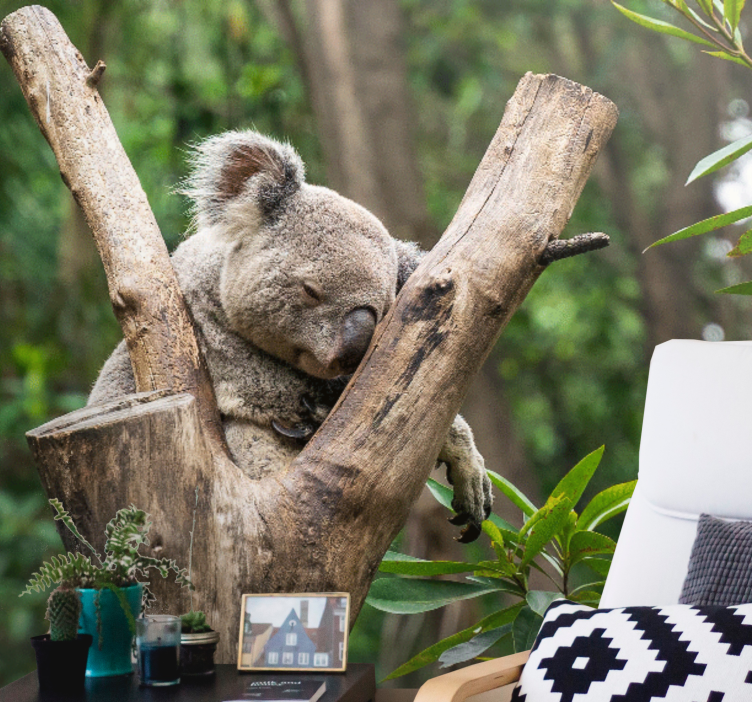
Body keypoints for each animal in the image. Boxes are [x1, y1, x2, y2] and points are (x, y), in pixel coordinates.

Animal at [89, 130, 492, 540]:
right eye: (311, 291)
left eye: (383, 311)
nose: (350, 353)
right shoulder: (207, 333)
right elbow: (266, 386)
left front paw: (471, 473)